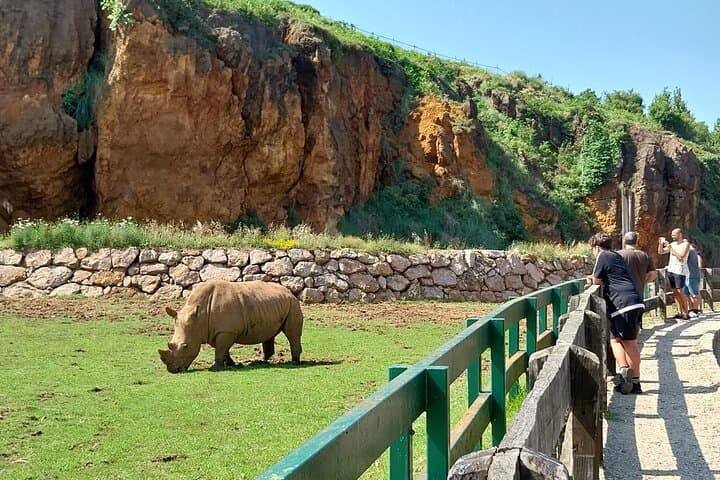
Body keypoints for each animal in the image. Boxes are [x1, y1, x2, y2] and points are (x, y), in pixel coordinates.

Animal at [158, 279, 303, 373]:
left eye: (186, 346)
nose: (173, 370)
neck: (199, 318)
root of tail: (289, 291)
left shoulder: (226, 331)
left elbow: (221, 349)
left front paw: (215, 367)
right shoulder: (215, 331)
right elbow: (222, 349)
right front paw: (229, 364)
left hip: (293, 303)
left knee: (292, 334)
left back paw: (294, 362)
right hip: (272, 305)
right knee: (268, 335)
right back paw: (260, 361)